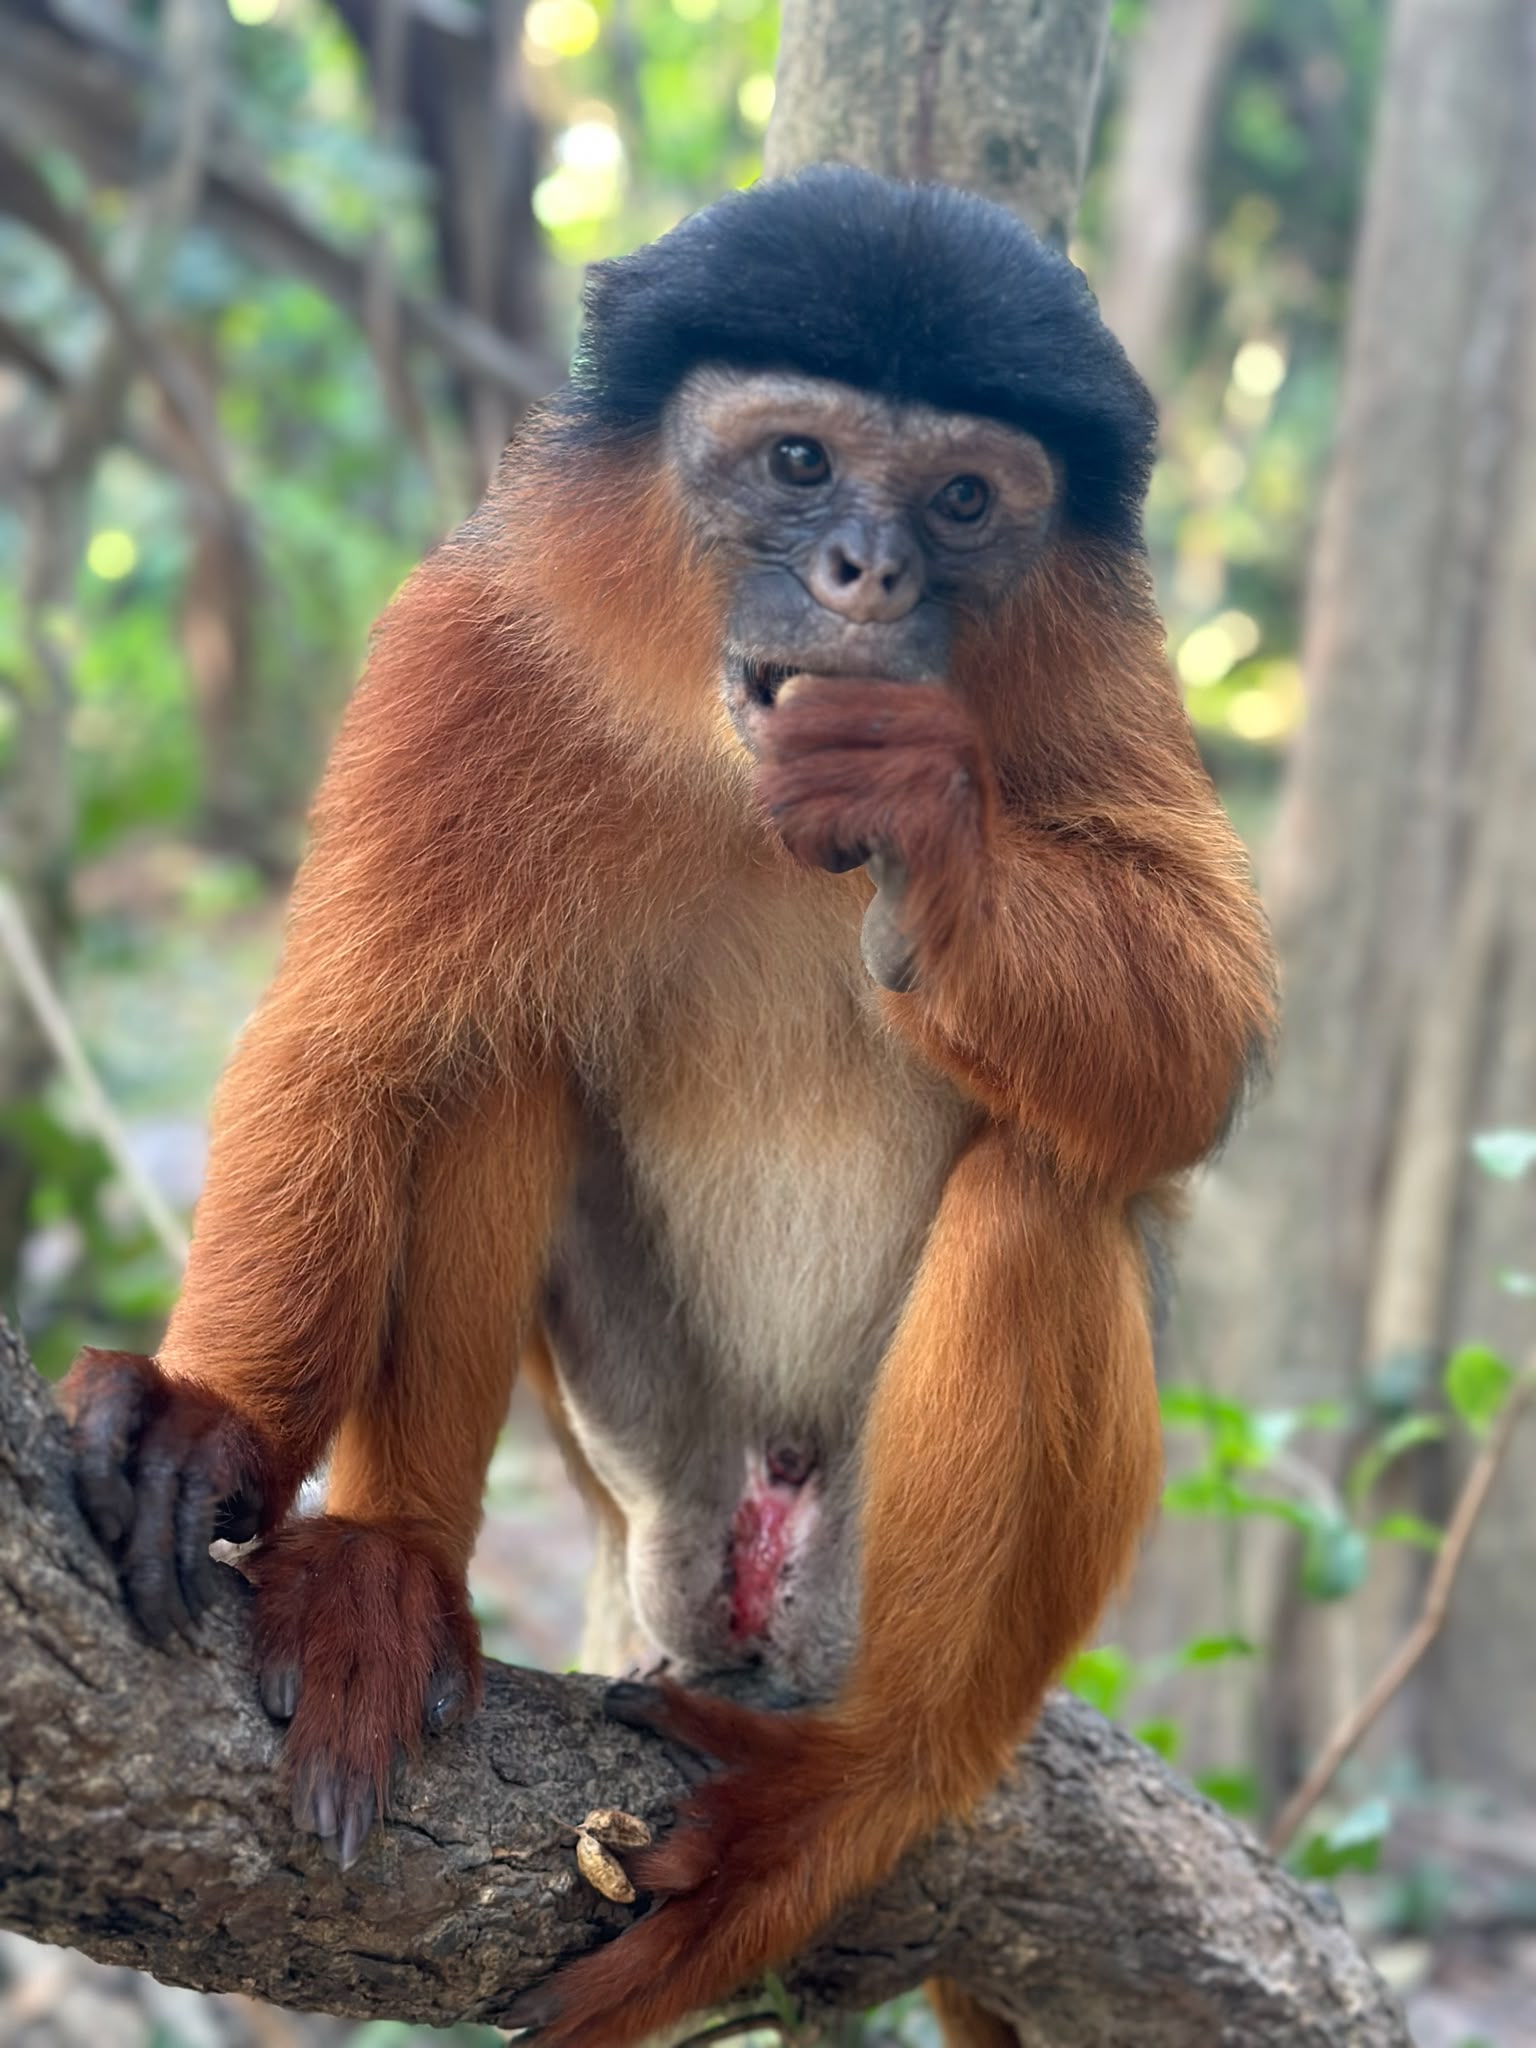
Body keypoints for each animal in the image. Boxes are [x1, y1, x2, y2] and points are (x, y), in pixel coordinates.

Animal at [61, 166, 1275, 2048]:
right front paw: (219, 1422)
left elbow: (1200, 1046)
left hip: (871, 1607)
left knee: (1046, 1190)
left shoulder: (1096, 676)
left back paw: (848, 1789)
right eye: (798, 463)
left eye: (962, 499)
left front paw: (927, 809)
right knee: (490, 1060)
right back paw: (389, 1569)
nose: (867, 571)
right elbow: (354, 1042)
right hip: (664, 1495)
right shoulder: (478, 650)